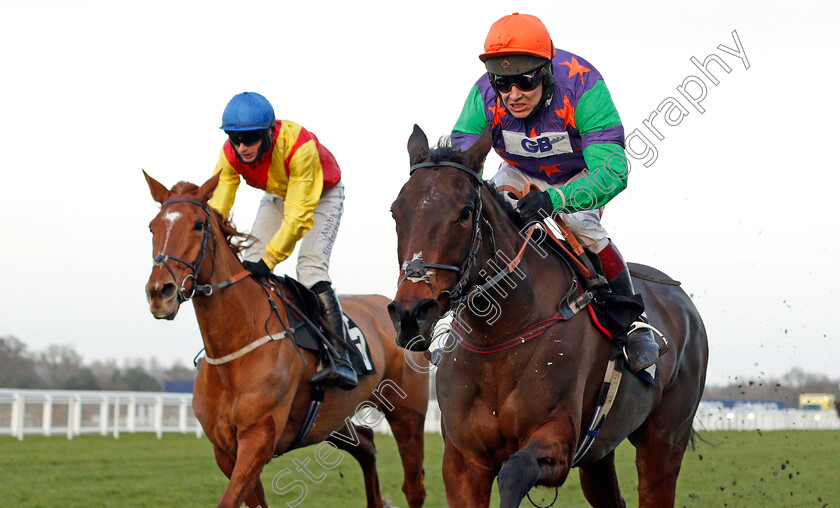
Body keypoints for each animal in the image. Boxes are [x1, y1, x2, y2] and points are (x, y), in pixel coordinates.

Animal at [142, 172, 430, 508]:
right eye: (153, 226)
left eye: (198, 225)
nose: (160, 292)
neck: (235, 348)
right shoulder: (225, 450)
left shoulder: (258, 437)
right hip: (331, 420)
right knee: (367, 445)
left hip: (407, 413)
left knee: (414, 486)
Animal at [388, 125, 708, 506]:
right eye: (395, 212)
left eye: (465, 212)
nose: (410, 313)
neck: (499, 336)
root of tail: (683, 302)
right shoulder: (463, 460)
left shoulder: (557, 436)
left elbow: (514, 473)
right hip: (599, 454)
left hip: (665, 439)